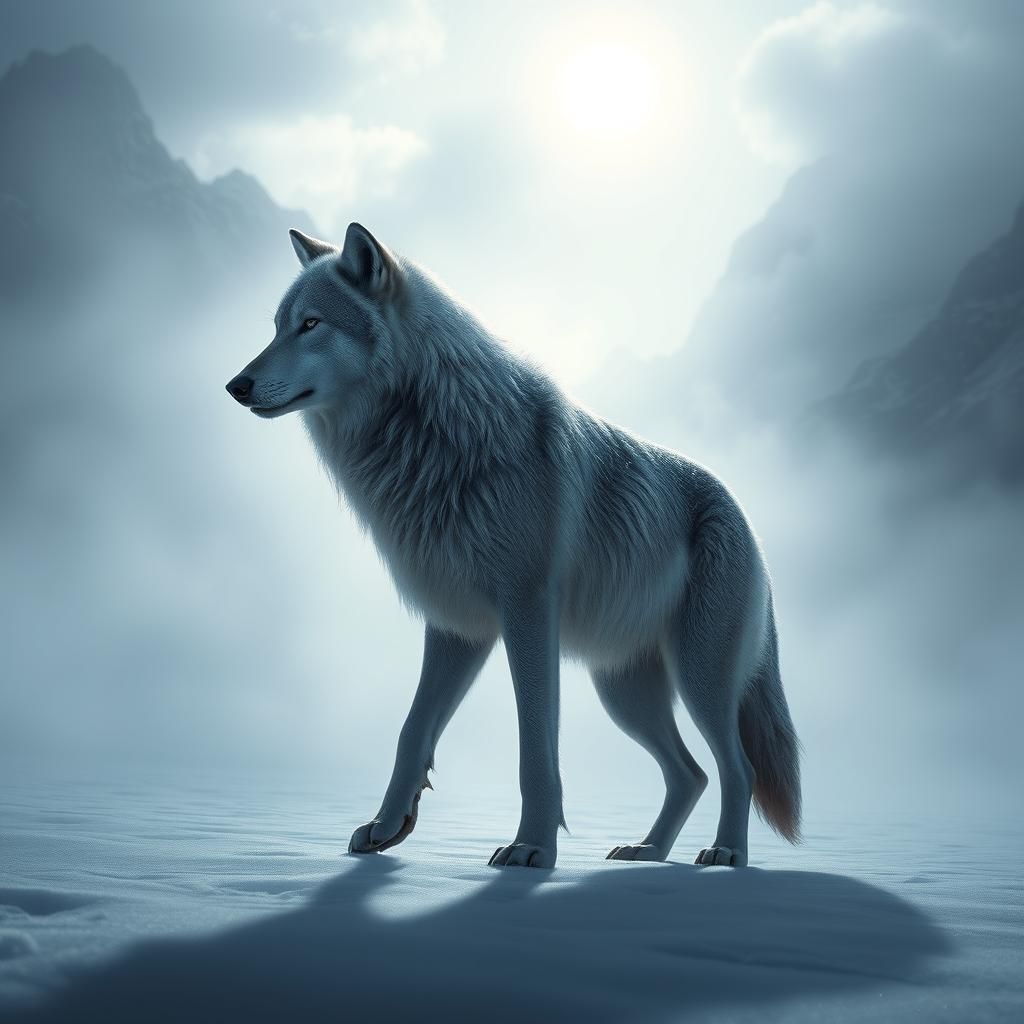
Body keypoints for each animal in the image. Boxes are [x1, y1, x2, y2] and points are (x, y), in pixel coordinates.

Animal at [226, 224, 802, 869]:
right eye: (278, 326)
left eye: (311, 324)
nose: (235, 385)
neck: (436, 439)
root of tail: (747, 521)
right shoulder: (456, 625)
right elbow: (411, 730)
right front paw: (386, 827)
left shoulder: (526, 614)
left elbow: (534, 749)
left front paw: (532, 846)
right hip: (624, 695)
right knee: (691, 774)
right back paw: (648, 851)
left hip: (699, 682)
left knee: (738, 768)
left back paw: (726, 853)